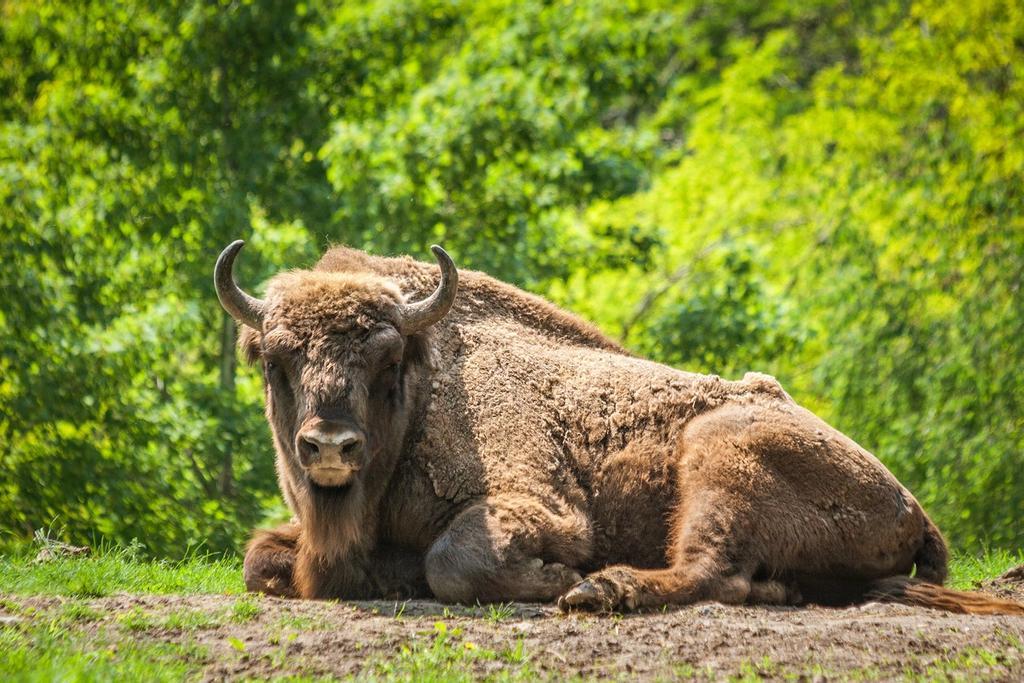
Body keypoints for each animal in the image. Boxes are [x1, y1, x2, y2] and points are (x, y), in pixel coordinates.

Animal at [215, 241, 1022, 614]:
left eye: (386, 360)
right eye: (275, 359)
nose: (329, 447)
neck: (428, 388)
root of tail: (910, 505)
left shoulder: (540, 504)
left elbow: (455, 559)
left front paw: (559, 577)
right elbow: (260, 561)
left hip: (718, 453)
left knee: (713, 570)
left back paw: (603, 589)